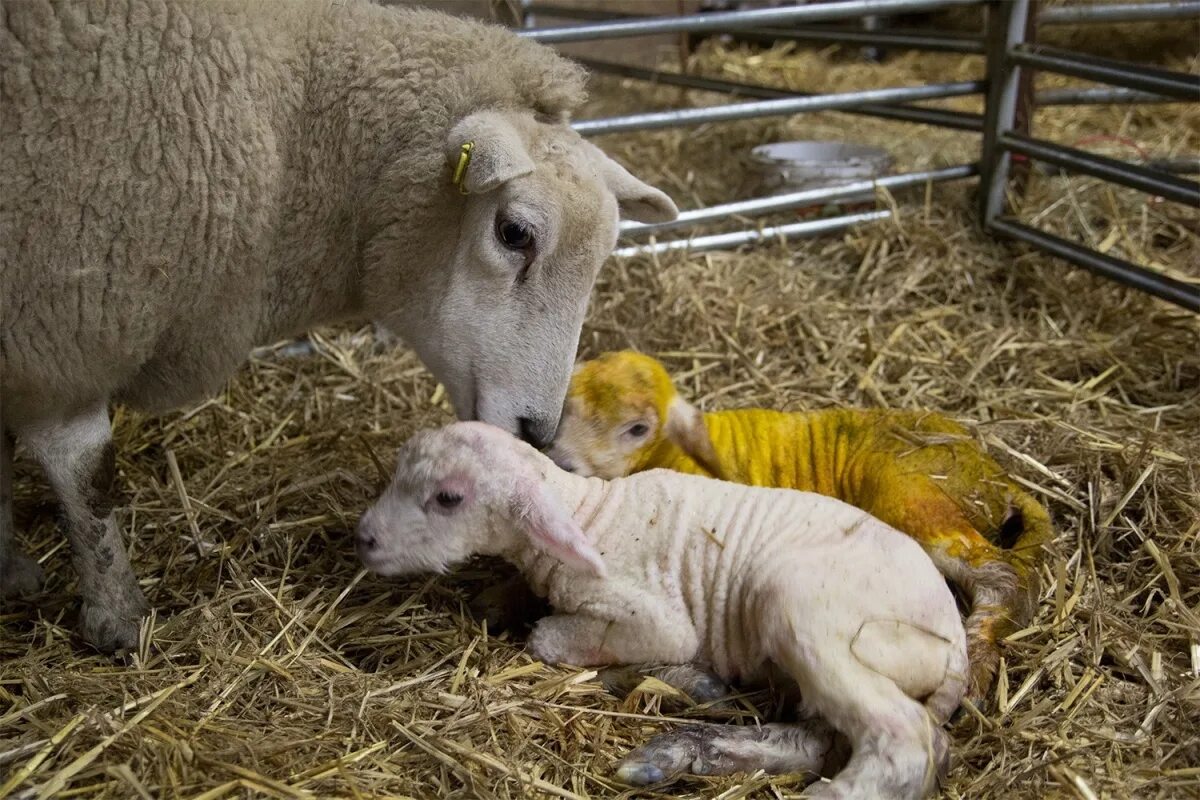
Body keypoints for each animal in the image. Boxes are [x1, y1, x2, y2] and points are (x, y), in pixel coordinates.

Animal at [0, 0, 676, 652]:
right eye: (514, 233)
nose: (539, 433)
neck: (290, 139)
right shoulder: (64, 327)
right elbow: (87, 477)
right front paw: (117, 616)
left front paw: (11, 565)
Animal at [355, 422, 964, 796]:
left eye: (448, 498)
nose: (363, 539)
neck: (589, 514)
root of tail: (954, 641)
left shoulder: (655, 619)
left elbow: (548, 639)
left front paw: (668, 675)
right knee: (818, 736)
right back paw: (683, 751)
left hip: (807, 611)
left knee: (907, 737)